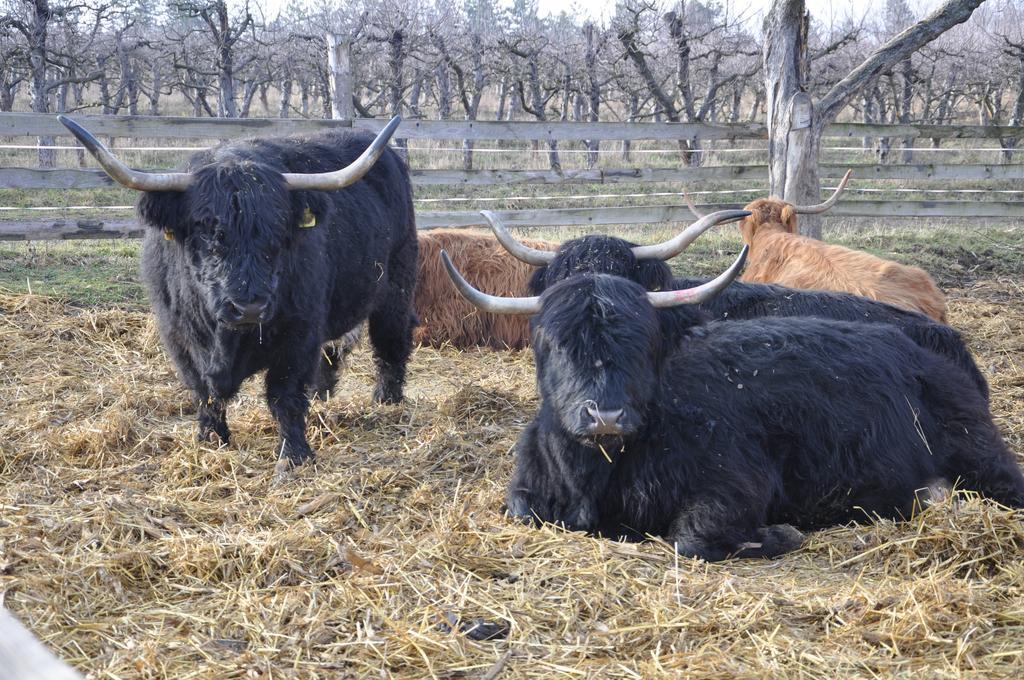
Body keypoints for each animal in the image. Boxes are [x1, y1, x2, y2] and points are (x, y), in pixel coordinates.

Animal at [60, 116, 415, 477]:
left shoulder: (299, 334)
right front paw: (210, 440)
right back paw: (321, 395)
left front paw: (293, 456)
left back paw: (387, 401)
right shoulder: (178, 336)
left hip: (396, 285)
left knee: (391, 342)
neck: (226, 340)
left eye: (278, 230)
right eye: (204, 229)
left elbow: (285, 395)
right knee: (332, 354)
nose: (249, 307)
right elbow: (204, 392)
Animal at [440, 251, 1024, 561]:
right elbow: (521, 509)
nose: (605, 416)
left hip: (982, 458)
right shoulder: (527, 491)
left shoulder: (734, 484)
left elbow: (691, 539)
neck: (600, 474)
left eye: (643, 343)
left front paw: (780, 533)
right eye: (556, 342)